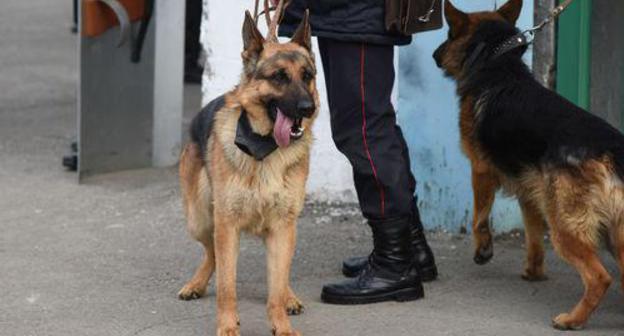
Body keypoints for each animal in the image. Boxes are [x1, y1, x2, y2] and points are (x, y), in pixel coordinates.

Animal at [179, 3, 316, 336]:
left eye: (307, 76)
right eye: (279, 77)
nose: (308, 109)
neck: (265, 148)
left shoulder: (281, 227)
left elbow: (275, 287)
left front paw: (282, 325)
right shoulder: (227, 225)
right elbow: (227, 287)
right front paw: (228, 327)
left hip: (287, 230)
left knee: (281, 274)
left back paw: (290, 296)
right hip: (200, 219)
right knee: (212, 254)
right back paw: (196, 283)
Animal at [434, 0, 624, 330]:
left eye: (449, 33)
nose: (434, 56)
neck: (498, 65)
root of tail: (611, 151)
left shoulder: (480, 170)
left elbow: (479, 217)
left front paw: (483, 250)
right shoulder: (530, 190)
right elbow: (533, 234)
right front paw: (533, 272)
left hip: (565, 226)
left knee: (599, 277)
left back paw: (572, 319)